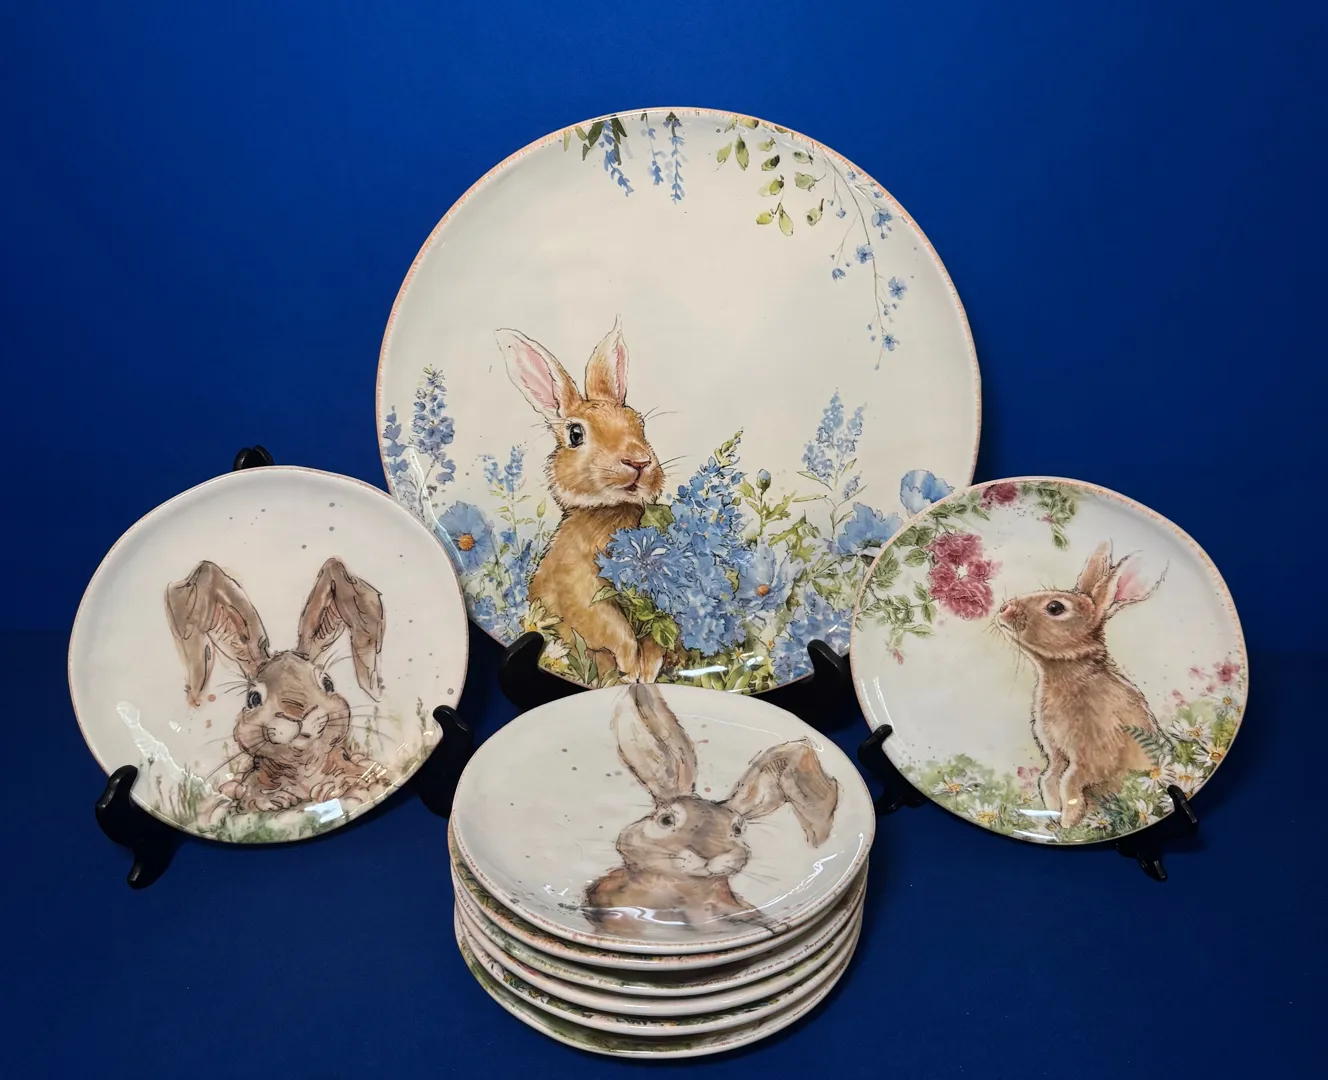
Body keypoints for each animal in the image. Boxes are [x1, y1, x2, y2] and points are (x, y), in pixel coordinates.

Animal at [164, 557, 392, 814]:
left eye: (328, 683)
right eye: (253, 698)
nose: (298, 715)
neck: (303, 770)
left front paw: (334, 787)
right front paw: (273, 798)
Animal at [497, 318, 667, 683]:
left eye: (639, 423)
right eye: (575, 434)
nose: (639, 462)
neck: (608, 512)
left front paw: (647, 672)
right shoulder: (583, 594)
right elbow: (614, 630)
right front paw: (633, 670)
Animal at [995, 541, 1167, 828]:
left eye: (1055, 608)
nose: (1004, 610)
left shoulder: (1093, 755)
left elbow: (1069, 782)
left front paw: (1068, 821)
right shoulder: (1056, 753)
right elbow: (1049, 778)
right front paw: (1054, 816)